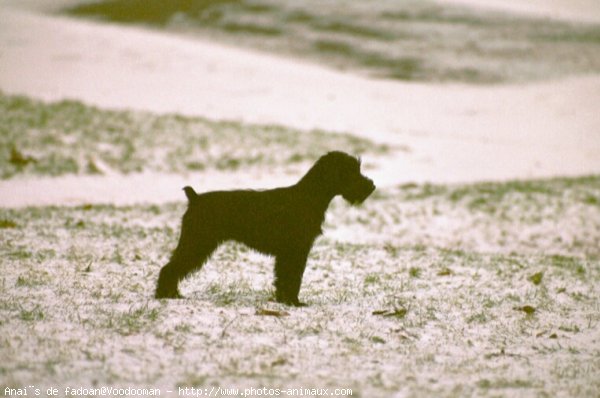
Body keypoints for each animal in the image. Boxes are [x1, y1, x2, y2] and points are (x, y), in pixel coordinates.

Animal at [157, 151, 378, 306]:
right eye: (350, 171)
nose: (371, 186)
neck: (308, 197)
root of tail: (195, 198)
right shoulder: (295, 251)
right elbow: (293, 277)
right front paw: (293, 302)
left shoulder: (291, 253)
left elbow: (285, 277)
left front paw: (285, 300)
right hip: (196, 243)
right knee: (169, 268)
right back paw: (165, 295)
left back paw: (171, 294)